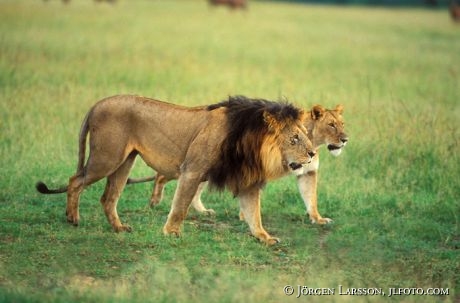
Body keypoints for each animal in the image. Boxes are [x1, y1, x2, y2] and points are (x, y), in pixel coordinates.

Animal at [36, 96, 316, 246]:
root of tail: (97, 104)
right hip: (107, 157)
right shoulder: (192, 170)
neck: (250, 142)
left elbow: (254, 214)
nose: (313, 153)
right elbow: (181, 205)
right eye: (294, 139)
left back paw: (119, 228)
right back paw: (73, 218)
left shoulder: (247, 183)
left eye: (304, 134)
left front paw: (264, 237)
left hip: (124, 162)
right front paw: (171, 232)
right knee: (75, 180)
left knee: (108, 197)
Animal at [127, 103, 346, 224]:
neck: (312, 141)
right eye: (331, 125)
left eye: (342, 124)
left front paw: (318, 219)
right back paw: (155, 200)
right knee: (163, 175)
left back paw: (201, 211)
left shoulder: (308, 173)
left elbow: (311, 198)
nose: (345, 139)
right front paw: (245, 216)